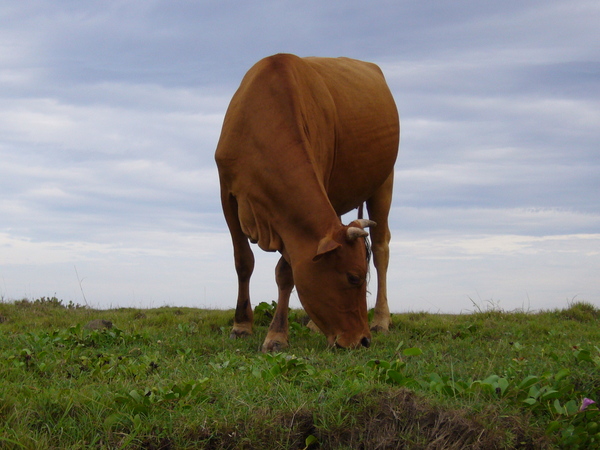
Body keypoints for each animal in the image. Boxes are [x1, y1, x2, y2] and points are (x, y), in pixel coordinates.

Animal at [214, 53, 398, 352]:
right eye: (353, 277)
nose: (363, 341)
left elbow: (286, 272)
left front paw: (276, 335)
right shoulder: (227, 194)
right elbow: (243, 262)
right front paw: (241, 326)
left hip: (384, 182)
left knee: (382, 249)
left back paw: (381, 320)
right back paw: (313, 325)